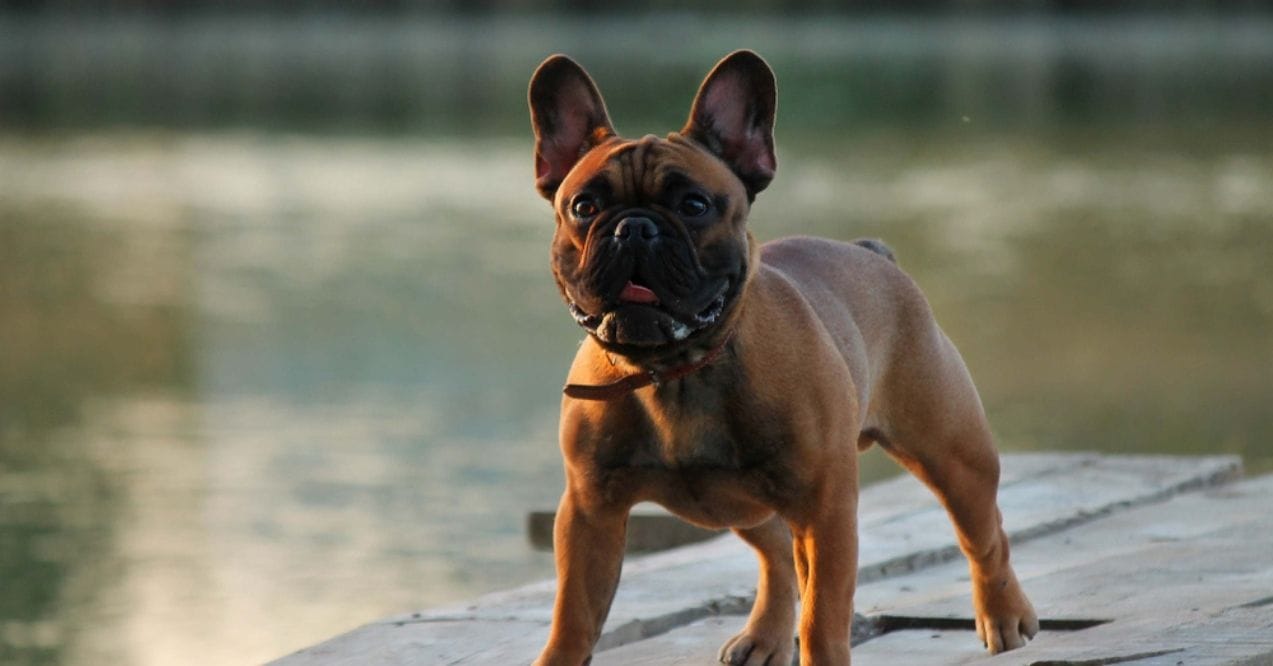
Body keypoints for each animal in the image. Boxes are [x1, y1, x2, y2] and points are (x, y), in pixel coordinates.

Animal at [527, 49, 1033, 662]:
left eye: (694, 205)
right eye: (584, 206)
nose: (635, 227)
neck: (674, 368)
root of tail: (873, 254)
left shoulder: (826, 510)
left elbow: (823, 617)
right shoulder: (588, 513)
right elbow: (573, 618)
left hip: (950, 452)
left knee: (984, 532)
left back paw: (1004, 614)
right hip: (740, 501)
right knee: (775, 554)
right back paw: (766, 635)